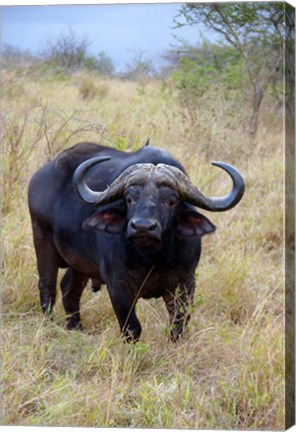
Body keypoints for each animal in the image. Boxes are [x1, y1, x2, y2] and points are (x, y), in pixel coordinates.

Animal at [28, 142, 245, 340]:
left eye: (171, 201)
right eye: (129, 199)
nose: (142, 226)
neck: (153, 259)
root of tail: (39, 177)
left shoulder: (185, 282)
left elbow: (179, 325)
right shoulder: (118, 285)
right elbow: (132, 328)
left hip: (80, 263)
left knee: (69, 288)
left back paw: (75, 328)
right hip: (42, 241)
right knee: (47, 286)